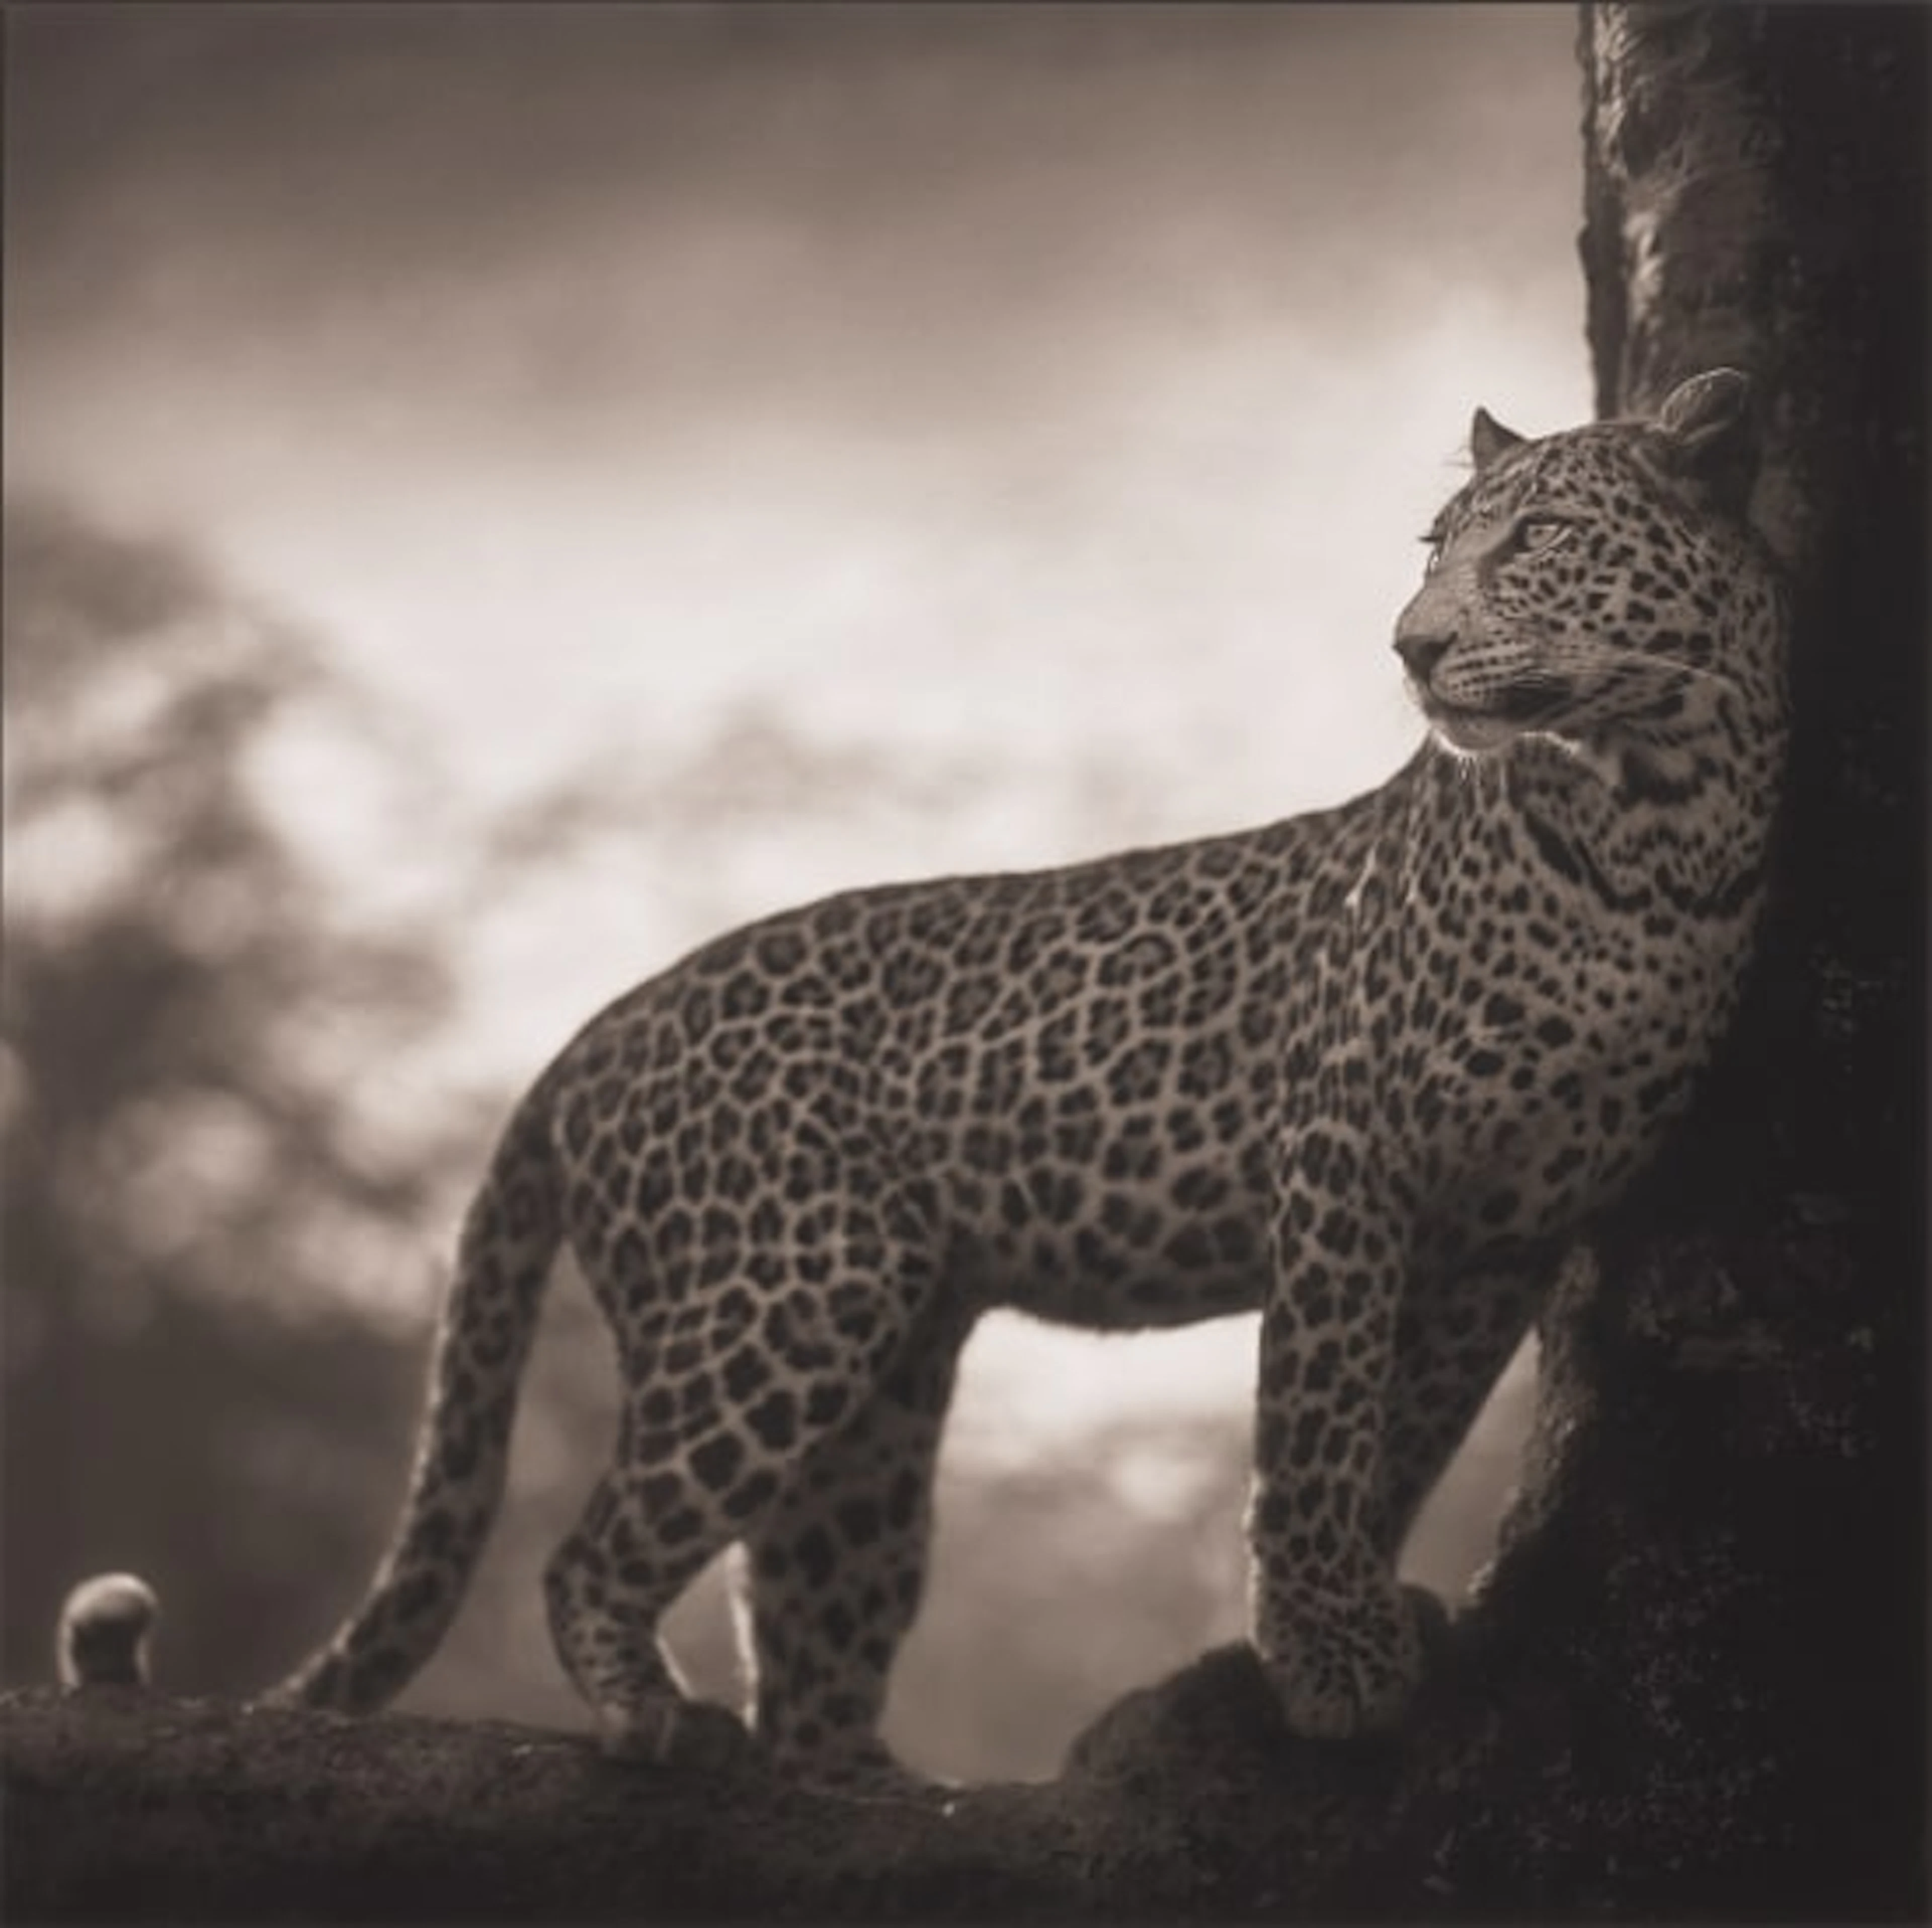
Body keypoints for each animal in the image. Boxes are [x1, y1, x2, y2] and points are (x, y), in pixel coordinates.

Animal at [98, 369, 1789, 1788]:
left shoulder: (1505, 1229)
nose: (1411, 645)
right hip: (786, 1296)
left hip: (881, 1390)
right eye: (1436, 550)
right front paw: (1321, 1655)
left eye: (1538, 539)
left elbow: (1405, 1432)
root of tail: (591, 1030)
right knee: (590, 1549)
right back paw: (651, 1714)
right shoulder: (1345, 1156)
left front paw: (1360, 1606)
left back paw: (851, 1781)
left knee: (810, 1616)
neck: (1657, 825)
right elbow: (1312, 1427)